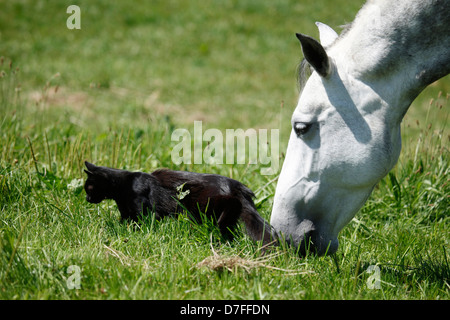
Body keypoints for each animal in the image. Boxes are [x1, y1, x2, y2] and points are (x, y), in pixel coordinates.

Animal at [82, 161, 276, 246]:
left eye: (88, 188)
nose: (87, 199)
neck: (123, 186)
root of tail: (238, 185)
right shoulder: (126, 212)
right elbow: (123, 222)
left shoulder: (145, 211)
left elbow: (143, 223)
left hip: (205, 206)